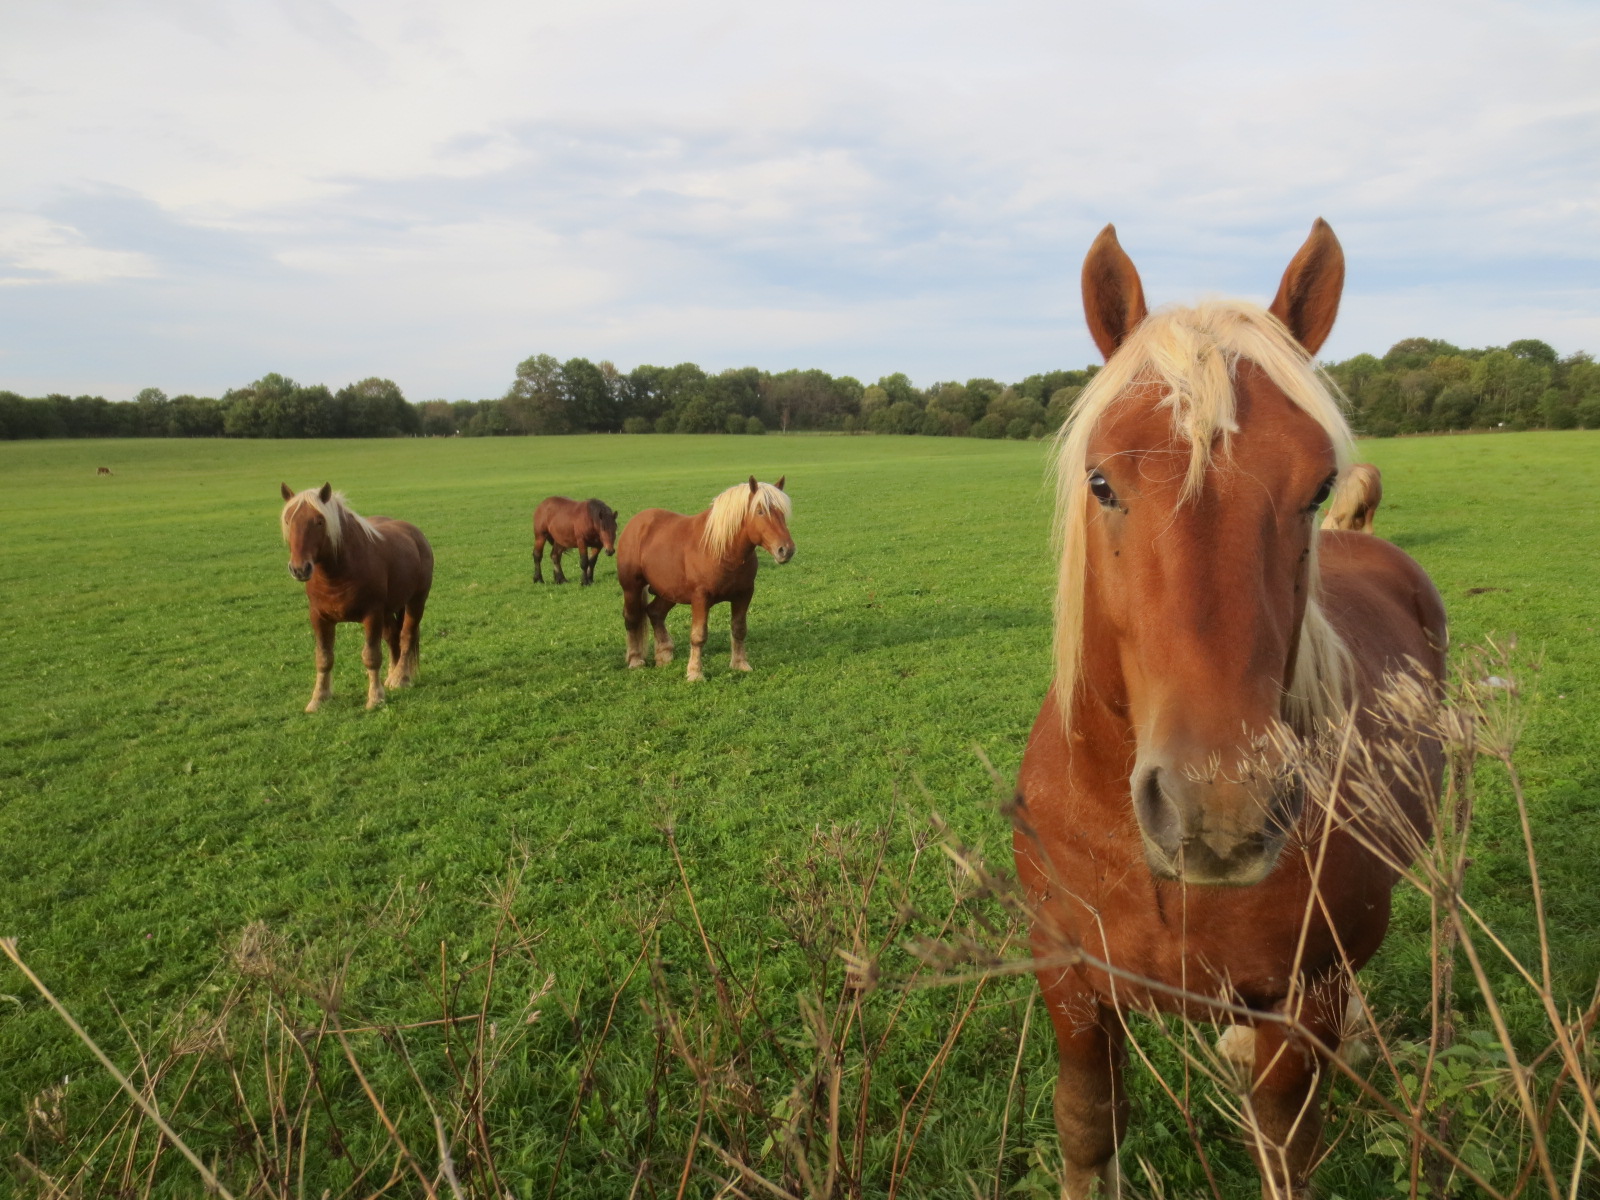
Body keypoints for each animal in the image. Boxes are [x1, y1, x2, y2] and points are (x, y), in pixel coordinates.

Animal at [278, 483, 435, 713]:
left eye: (319, 521)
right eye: (289, 520)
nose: (299, 568)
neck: (338, 573)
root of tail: (414, 533)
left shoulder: (372, 615)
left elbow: (371, 656)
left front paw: (375, 697)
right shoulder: (319, 617)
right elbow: (324, 658)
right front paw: (319, 698)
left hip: (416, 602)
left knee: (406, 636)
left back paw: (400, 678)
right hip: (387, 612)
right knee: (392, 638)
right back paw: (391, 675)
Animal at [617, 480, 793, 684]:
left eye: (782, 511)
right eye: (760, 511)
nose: (786, 550)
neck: (721, 550)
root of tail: (636, 522)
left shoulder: (744, 594)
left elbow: (739, 629)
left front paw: (740, 664)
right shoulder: (701, 598)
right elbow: (698, 636)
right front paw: (695, 673)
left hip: (669, 591)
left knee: (655, 612)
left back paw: (664, 654)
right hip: (631, 588)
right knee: (631, 618)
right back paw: (635, 659)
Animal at [1011, 224, 1452, 1200]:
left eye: (1319, 486)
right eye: (1101, 482)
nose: (1222, 808)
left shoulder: (1305, 999)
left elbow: (1284, 1148)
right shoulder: (1069, 980)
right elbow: (1088, 1128)